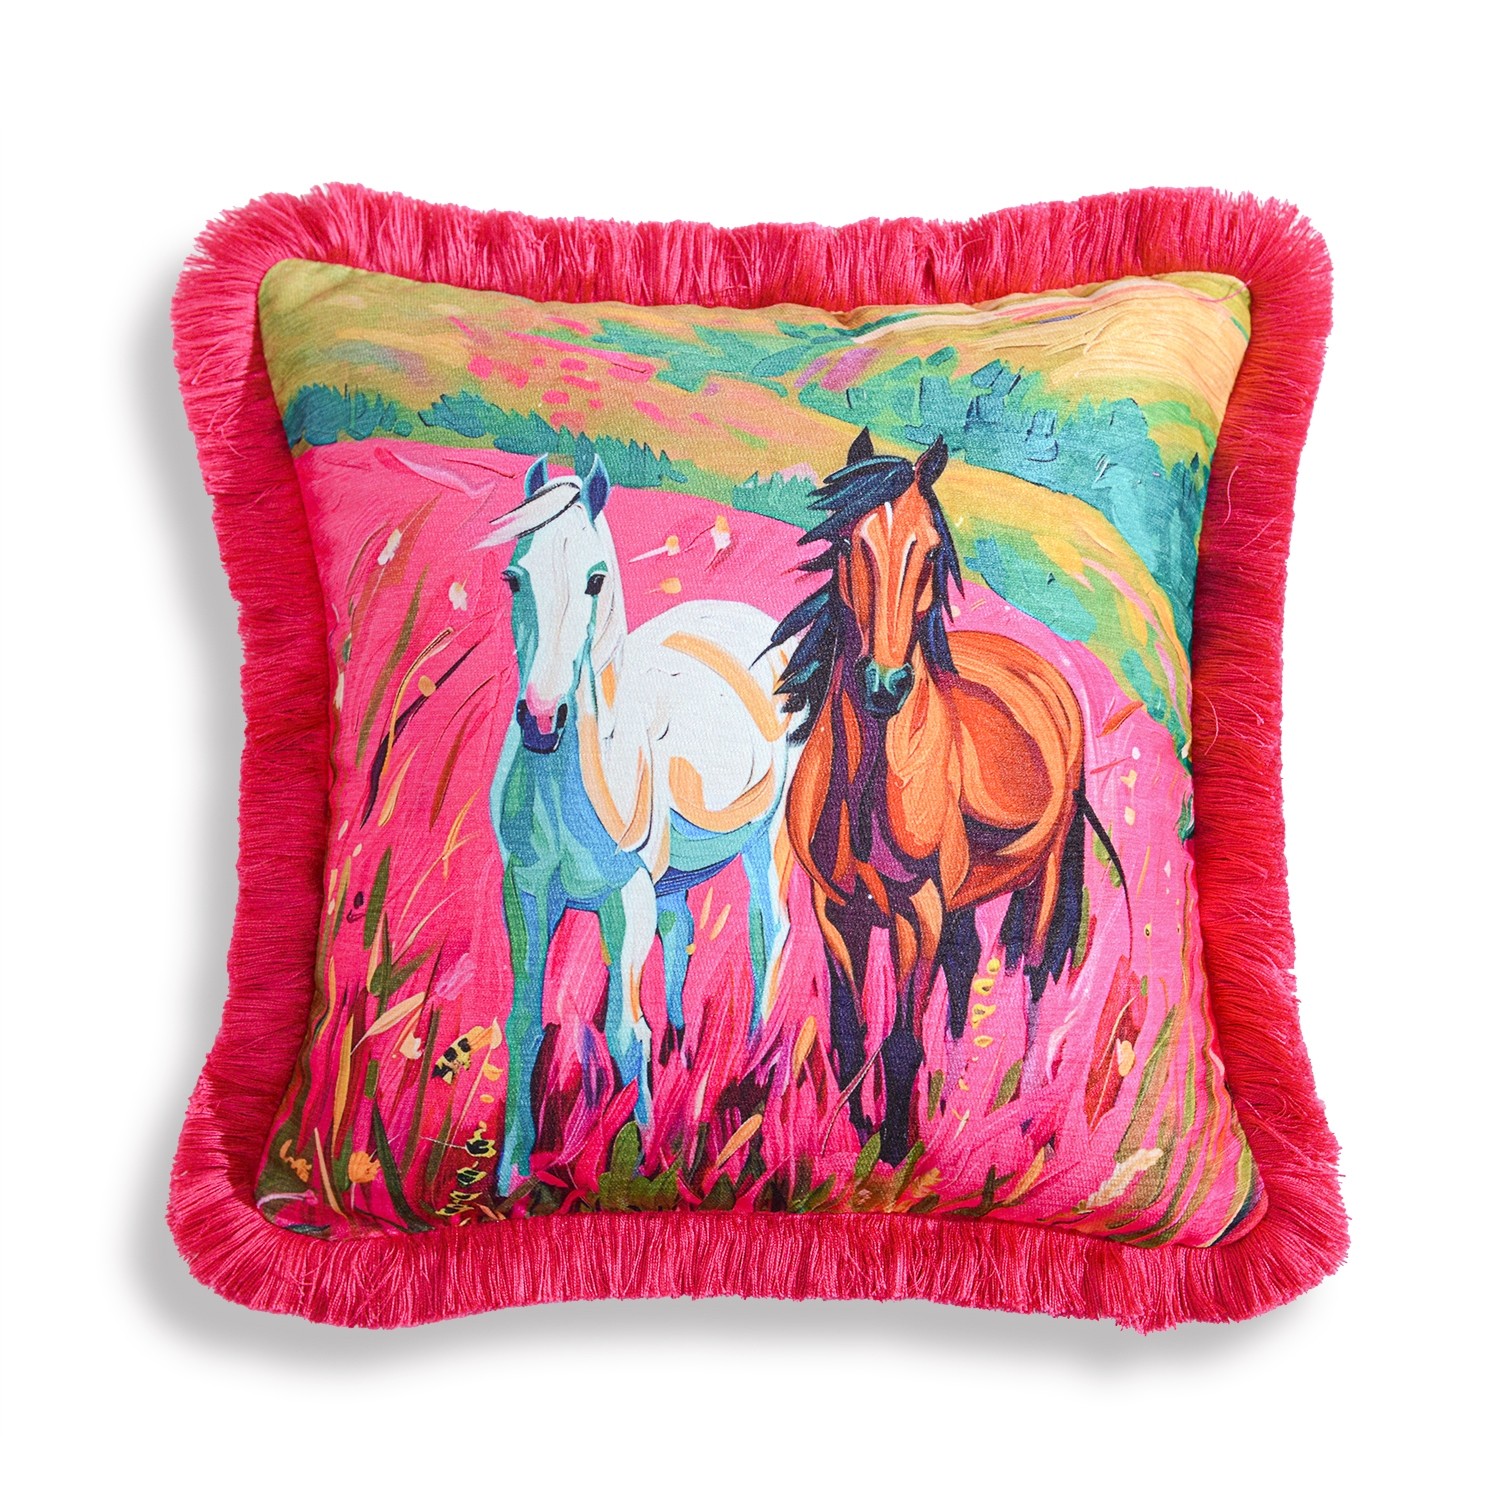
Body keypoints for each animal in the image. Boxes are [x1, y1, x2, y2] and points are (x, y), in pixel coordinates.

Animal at [388, 449, 799, 1190]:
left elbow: (623, 1035)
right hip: (670, 880)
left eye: (596, 579)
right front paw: (511, 1174)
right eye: (513, 576)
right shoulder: (525, 893)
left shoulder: (624, 895)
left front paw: (637, 1161)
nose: (541, 722)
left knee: (767, 932)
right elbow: (526, 1021)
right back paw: (684, 1054)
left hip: (766, 841)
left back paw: (750, 1069)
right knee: (681, 931)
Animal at [771, 428, 1126, 1163]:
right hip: (965, 897)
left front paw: (890, 1161)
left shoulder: (920, 913)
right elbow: (848, 1035)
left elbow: (903, 1043)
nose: (885, 685)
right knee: (965, 975)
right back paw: (955, 1101)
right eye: (848, 544)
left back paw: (1017, 1123)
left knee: (1035, 981)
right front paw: (852, 1136)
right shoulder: (835, 911)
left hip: (1042, 882)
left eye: (932, 551)